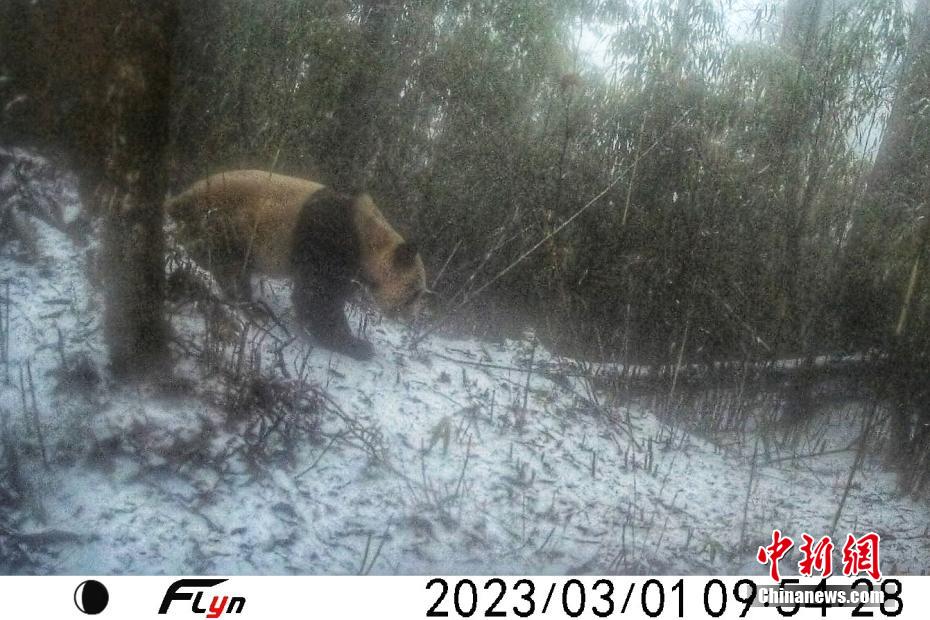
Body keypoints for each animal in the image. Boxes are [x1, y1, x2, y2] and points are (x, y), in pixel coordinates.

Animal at [167, 172, 428, 360]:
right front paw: (356, 345)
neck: (370, 235)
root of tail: (180, 199)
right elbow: (318, 296)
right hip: (228, 218)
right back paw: (250, 305)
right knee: (227, 263)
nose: (413, 318)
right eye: (415, 292)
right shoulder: (328, 235)